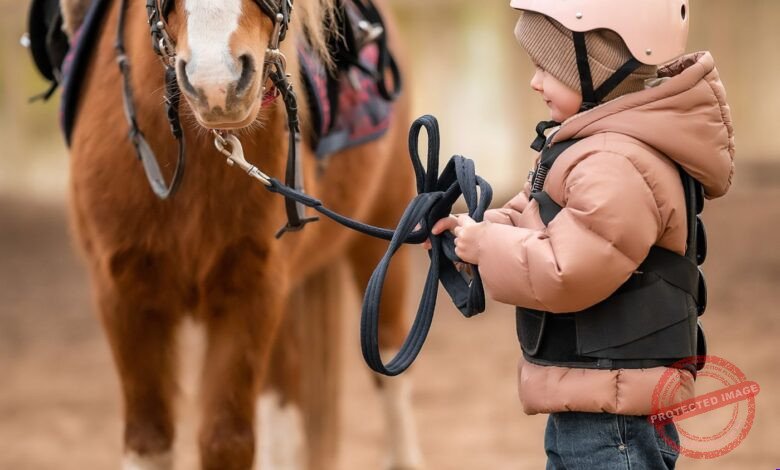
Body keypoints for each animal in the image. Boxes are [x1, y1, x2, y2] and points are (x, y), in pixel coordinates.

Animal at [64, 0, 422, 468]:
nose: (216, 83)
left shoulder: (250, 290)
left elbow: (226, 440)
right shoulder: (124, 296)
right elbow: (150, 440)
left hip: (382, 234)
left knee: (390, 363)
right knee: (285, 392)